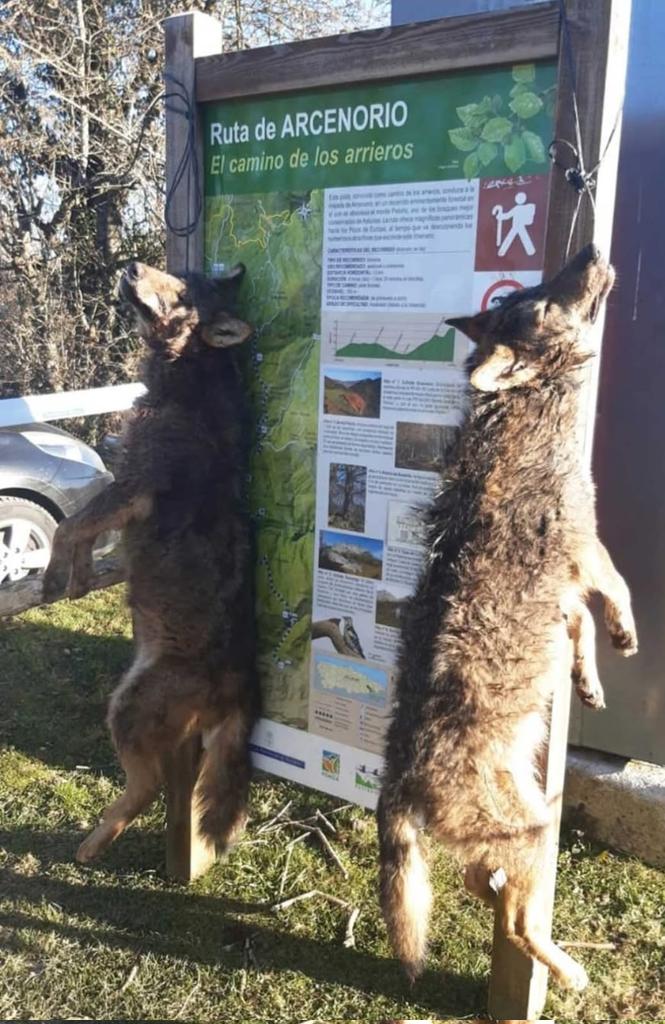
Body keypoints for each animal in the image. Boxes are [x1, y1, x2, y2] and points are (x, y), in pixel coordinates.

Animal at [42, 261, 259, 864]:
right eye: (182, 272)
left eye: (183, 292)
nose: (133, 266)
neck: (188, 383)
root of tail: (241, 691)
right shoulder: (118, 489)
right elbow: (82, 532)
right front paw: (79, 577)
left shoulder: (131, 490)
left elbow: (68, 526)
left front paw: (54, 576)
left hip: (127, 708)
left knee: (148, 787)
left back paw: (90, 845)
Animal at [378, 245, 637, 992]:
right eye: (543, 302)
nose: (589, 251)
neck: (525, 406)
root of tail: (396, 771)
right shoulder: (585, 545)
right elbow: (617, 590)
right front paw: (627, 634)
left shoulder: (565, 585)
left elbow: (579, 628)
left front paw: (589, 680)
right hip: (534, 834)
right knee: (518, 922)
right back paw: (569, 972)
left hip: (520, 829)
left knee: (478, 886)